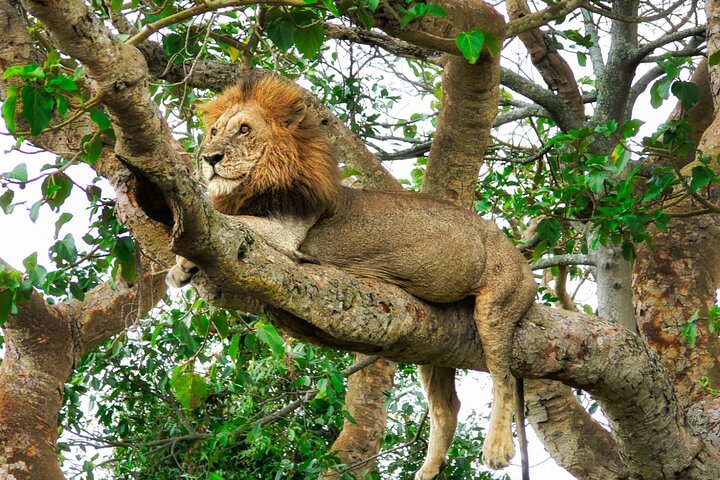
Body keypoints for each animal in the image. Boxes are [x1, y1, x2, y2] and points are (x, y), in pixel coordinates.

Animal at [167, 73, 536, 480]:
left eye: (244, 129)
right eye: (214, 131)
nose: (208, 158)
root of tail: (522, 261)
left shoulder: (287, 231)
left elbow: (232, 222)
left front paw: (181, 260)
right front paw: (181, 267)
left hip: (497, 303)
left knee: (502, 377)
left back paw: (498, 447)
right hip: (431, 337)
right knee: (447, 406)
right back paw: (428, 469)